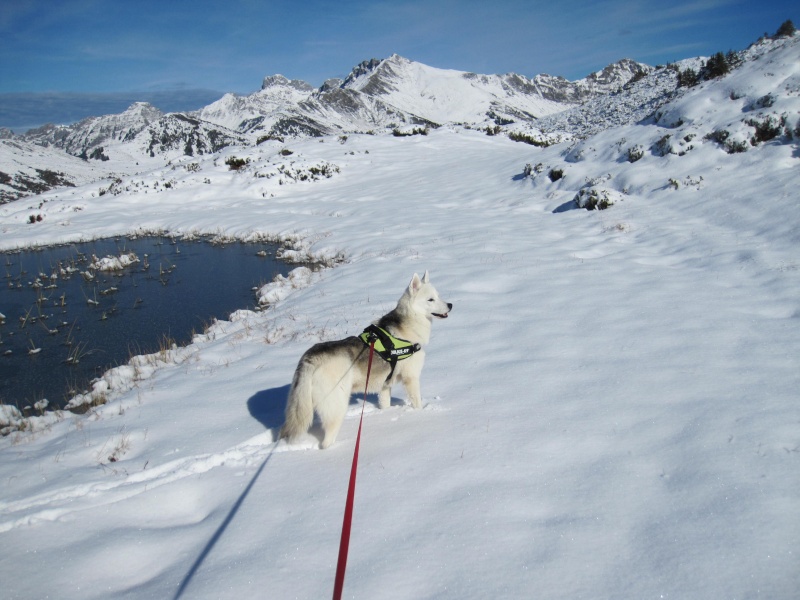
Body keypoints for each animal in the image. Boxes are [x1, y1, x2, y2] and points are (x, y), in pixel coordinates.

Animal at [278, 270, 450, 446]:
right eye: (430, 299)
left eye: (438, 296)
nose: (450, 305)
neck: (409, 323)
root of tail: (311, 357)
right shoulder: (411, 379)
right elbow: (417, 403)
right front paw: (420, 415)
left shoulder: (385, 385)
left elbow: (385, 404)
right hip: (337, 407)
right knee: (326, 441)